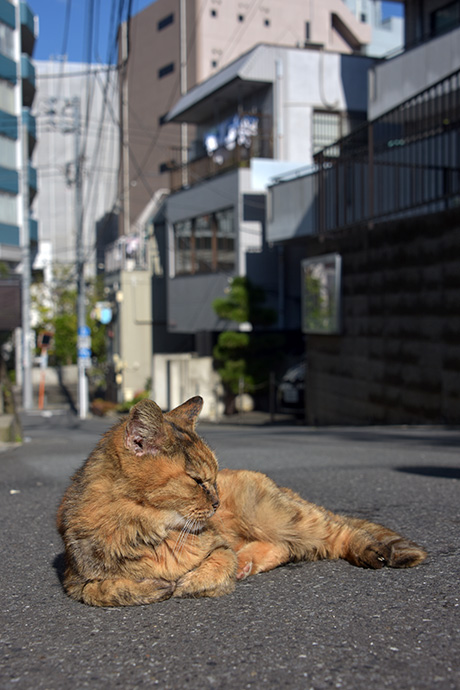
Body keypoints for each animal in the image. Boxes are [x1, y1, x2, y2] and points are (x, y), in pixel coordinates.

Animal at [57, 396, 428, 604]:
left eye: (213, 477)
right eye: (197, 480)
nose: (217, 502)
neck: (150, 530)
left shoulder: (218, 546)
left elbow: (214, 566)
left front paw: (187, 584)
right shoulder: (74, 580)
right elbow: (102, 591)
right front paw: (155, 586)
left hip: (275, 514)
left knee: (335, 532)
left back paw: (374, 552)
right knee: (286, 548)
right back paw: (248, 563)